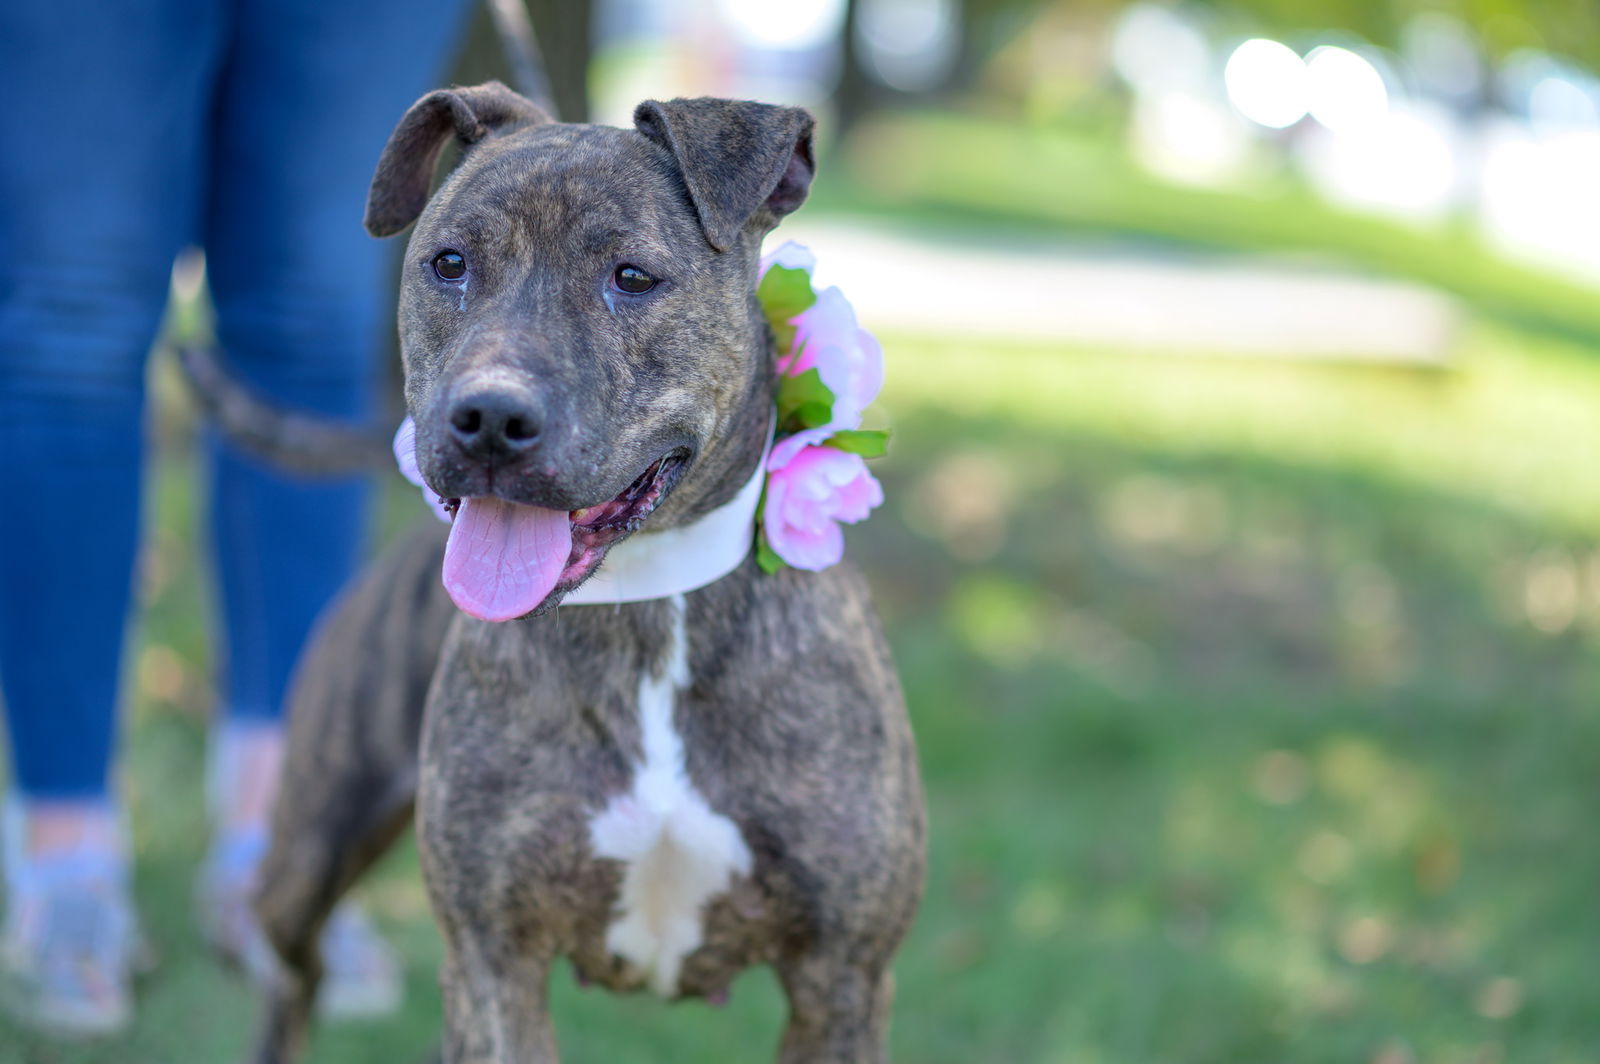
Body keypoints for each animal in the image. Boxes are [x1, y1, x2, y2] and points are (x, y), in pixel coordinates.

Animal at [246, 83, 928, 1062]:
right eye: (449, 264)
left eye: (632, 277)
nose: (489, 419)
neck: (646, 609)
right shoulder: (494, 962)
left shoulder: (842, 976)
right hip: (311, 847)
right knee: (288, 969)